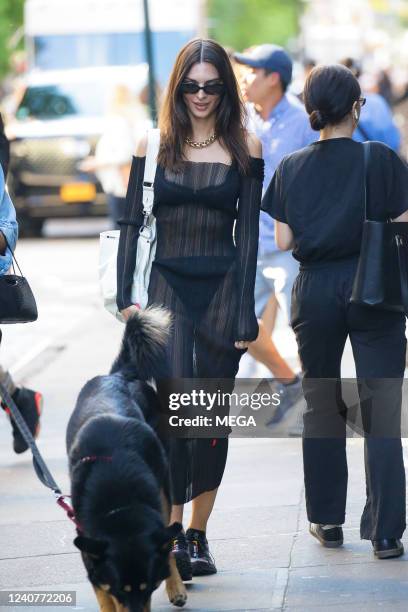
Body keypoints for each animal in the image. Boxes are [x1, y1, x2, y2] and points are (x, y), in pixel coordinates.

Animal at [66, 308, 186, 608]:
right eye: (120, 590)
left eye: (150, 587)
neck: (121, 508)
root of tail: (118, 376)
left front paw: (173, 585)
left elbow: (165, 550)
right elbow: (105, 598)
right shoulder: (92, 554)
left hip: (165, 483)